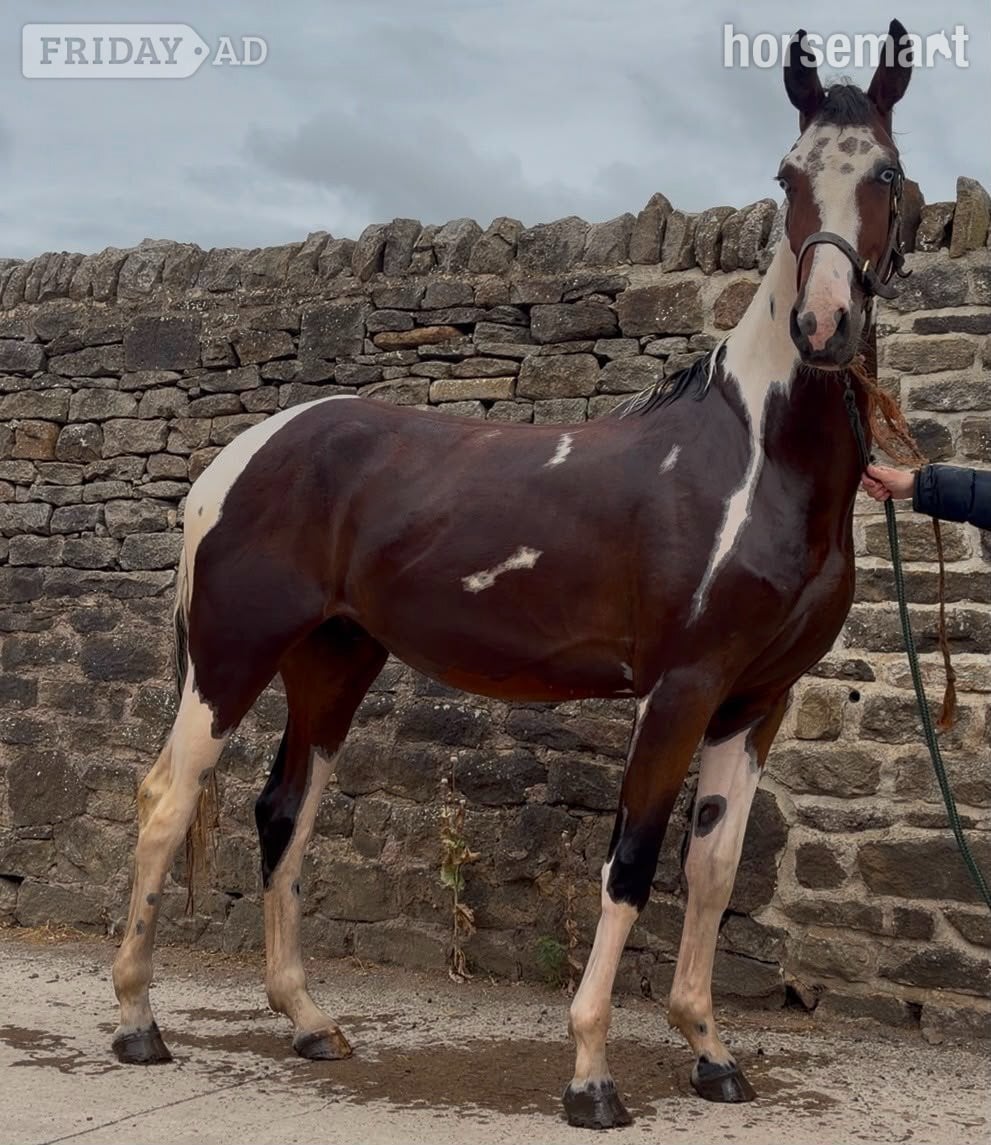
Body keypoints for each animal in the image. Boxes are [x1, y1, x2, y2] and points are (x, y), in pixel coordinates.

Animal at [109, 21, 913, 1129]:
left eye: (885, 173)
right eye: (786, 175)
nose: (824, 326)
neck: (754, 458)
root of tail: (238, 457)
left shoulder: (757, 700)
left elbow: (709, 870)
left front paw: (710, 1051)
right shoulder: (680, 689)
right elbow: (631, 863)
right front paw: (591, 1074)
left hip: (334, 661)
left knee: (285, 811)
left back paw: (310, 1021)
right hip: (230, 661)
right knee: (166, 799)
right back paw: (138, 1023)